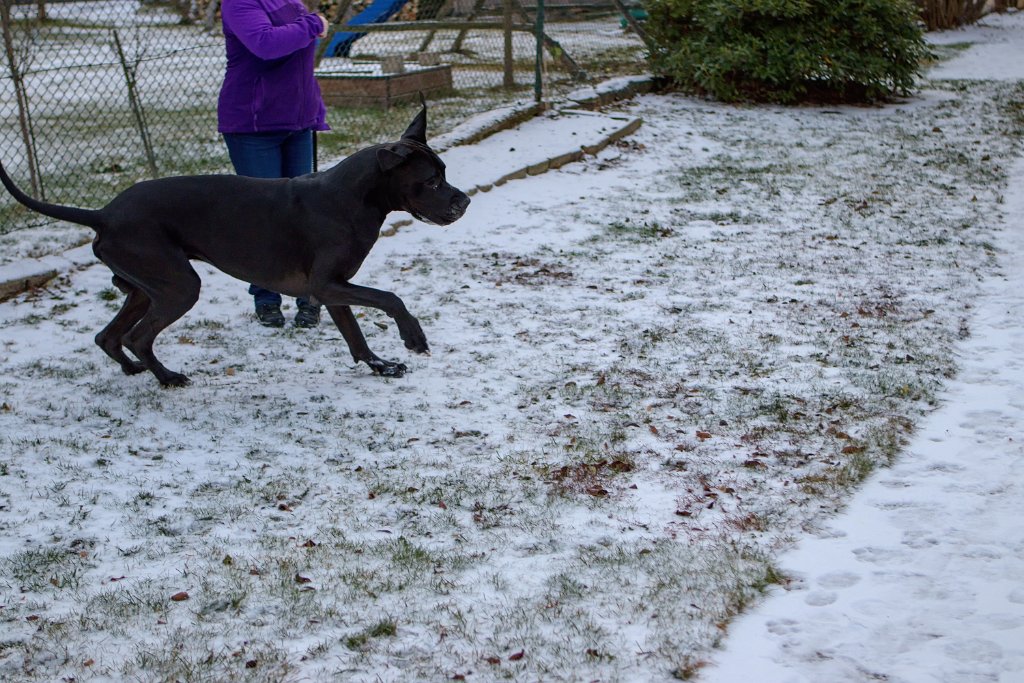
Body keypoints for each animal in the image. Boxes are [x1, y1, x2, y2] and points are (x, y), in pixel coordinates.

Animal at [0, 104, 471, 387]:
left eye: (445, 173)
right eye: (431, 181)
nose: (464, 201)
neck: (354, 197)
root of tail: (103, 214)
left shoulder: (333, 289)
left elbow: (355, 337)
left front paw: (381, 366)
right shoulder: (326, 285)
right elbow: (390, 298)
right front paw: (413, 337)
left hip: (145, 287)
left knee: (109, 336)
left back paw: (136, 370)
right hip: (177, 284)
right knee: (137, 336)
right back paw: (167, 377)